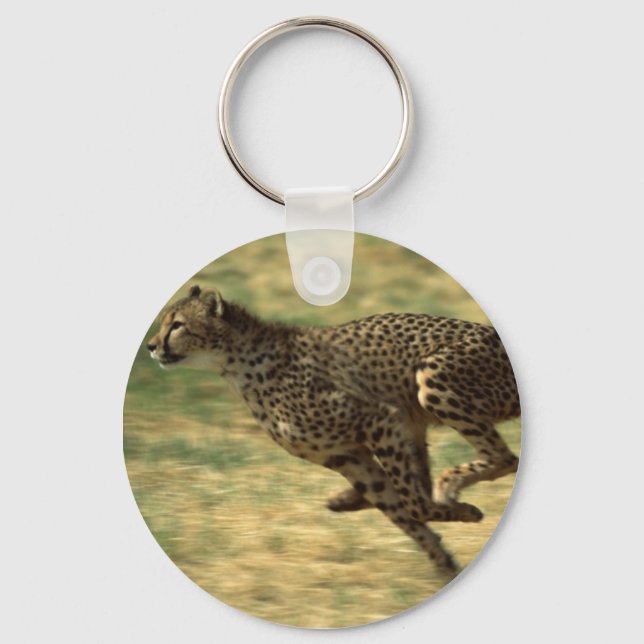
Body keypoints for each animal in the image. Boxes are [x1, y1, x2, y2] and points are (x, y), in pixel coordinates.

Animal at [147, 284, 520, 575]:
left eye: (177, 325)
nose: (151, 346)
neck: (238, 363)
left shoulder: (378, 419)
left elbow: (413, 503)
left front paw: (466, 514)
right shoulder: (346, 456)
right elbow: (400, 507)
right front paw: (443, 561)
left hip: (431, 378)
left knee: (504, 458)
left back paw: (447, 486)